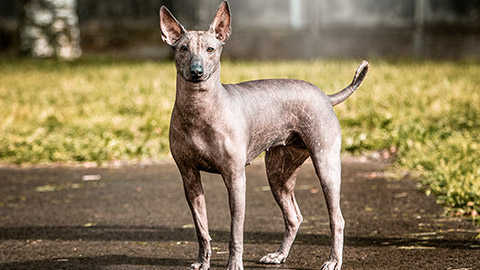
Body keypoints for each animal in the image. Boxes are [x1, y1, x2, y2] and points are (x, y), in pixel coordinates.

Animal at [159, 1, 370, 268]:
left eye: (210, 49)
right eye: (183, 48)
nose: (196, 71)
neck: (200, 108)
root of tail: (324, 95)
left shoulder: (235, 178)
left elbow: (235, 230)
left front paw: (234, 263)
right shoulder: (189, 177)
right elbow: (201, 228)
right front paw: (203, 261)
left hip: (326, 166)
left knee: (337, 218)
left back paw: (333, 260)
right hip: (278, 173)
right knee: (294, 216)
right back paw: (279, 255)